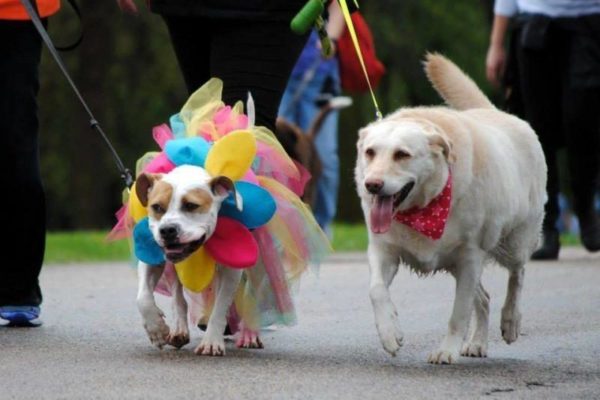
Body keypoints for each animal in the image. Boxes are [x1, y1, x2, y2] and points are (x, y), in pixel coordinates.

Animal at [134, 166, 241, 356]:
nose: (167, 230)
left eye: (191, 206)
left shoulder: (232, 269)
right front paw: (156, 329)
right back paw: (179, 329)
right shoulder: (151, 259)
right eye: (156, 207)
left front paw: (211, 341)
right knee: (178, 297)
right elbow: (143, 297)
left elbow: (220, 306)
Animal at [356, 54, 548, 366]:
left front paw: (446, 350)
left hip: (515, 241)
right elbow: (376, 291)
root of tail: (497, 112)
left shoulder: (469, 257)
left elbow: (458, 313)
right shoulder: (384, 250)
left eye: (402, 154)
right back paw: (478, 342)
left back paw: (510, 322)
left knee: (517, 275)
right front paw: (390, 332)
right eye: (370, 152)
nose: (372, 185)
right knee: (484, 298)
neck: (423, 208)